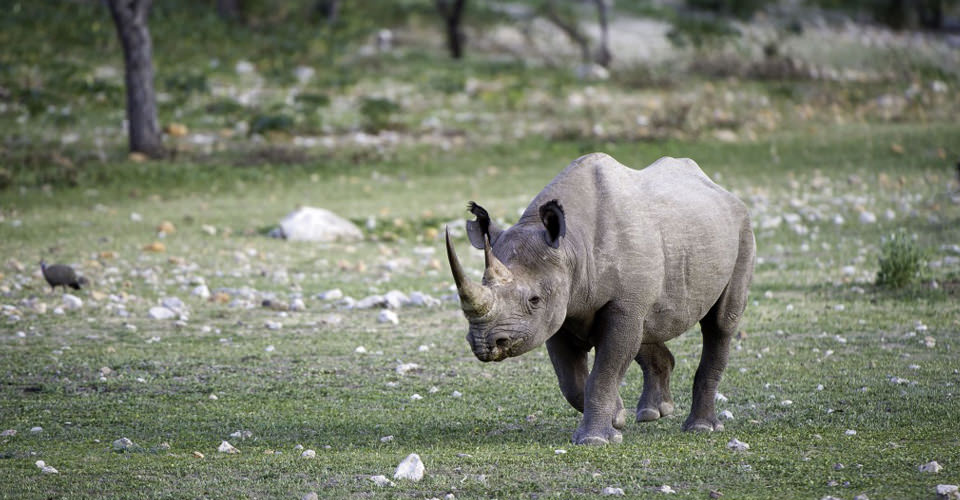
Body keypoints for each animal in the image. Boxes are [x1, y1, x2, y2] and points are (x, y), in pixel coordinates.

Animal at [445, 153, 755, 445]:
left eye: (534, 300)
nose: (484, 344)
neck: (571, 246)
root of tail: (720, 188)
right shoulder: (559, 310)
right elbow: (571, 381)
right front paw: (617, 416)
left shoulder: (618, 305)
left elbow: (605, 370)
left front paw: (595, 439)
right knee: (648, 325)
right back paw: (654, 412)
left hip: (742, 227)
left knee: (720, 324)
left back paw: (701, 427)